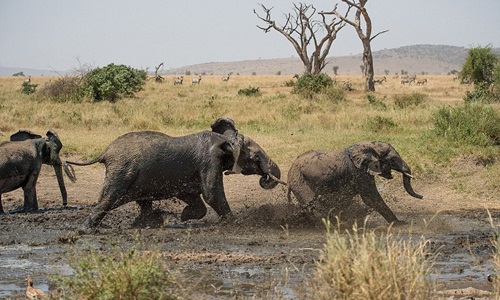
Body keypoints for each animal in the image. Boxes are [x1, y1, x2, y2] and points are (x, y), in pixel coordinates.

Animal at [64, 117, 282, 227]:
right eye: (255, 156)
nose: (265, 177)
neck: (224, 140)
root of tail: (105, 152)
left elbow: (193, 196)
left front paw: (184, 217)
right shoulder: (209, 162)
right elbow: (212, 194)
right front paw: (234, 223)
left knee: (137, 201)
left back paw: (146, 224)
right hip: (121, 172)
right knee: (109, 198)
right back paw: (87, 229)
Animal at [286, 142, 422, 224]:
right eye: (392, 160)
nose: (422, 196)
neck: (367, 146)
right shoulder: (359, 171)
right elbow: (371, 198)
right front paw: (399, 224)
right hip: (299, 181)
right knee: (311, 204)